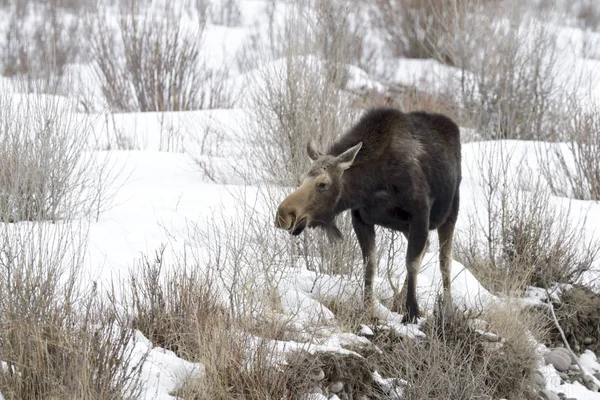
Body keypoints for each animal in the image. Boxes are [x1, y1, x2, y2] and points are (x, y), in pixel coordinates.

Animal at [274, 107, 462, 322]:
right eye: (301, 179)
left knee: (444, 262)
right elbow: (369, 265)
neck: (371, 186)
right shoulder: (360, 219)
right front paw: (367, 309)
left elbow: (411, 263)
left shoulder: (420, 215)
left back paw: (448, 311)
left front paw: (411, 313)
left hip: (450, 214)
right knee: (428, 248)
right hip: (407, 227)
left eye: (322, 183)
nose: (283, 215)